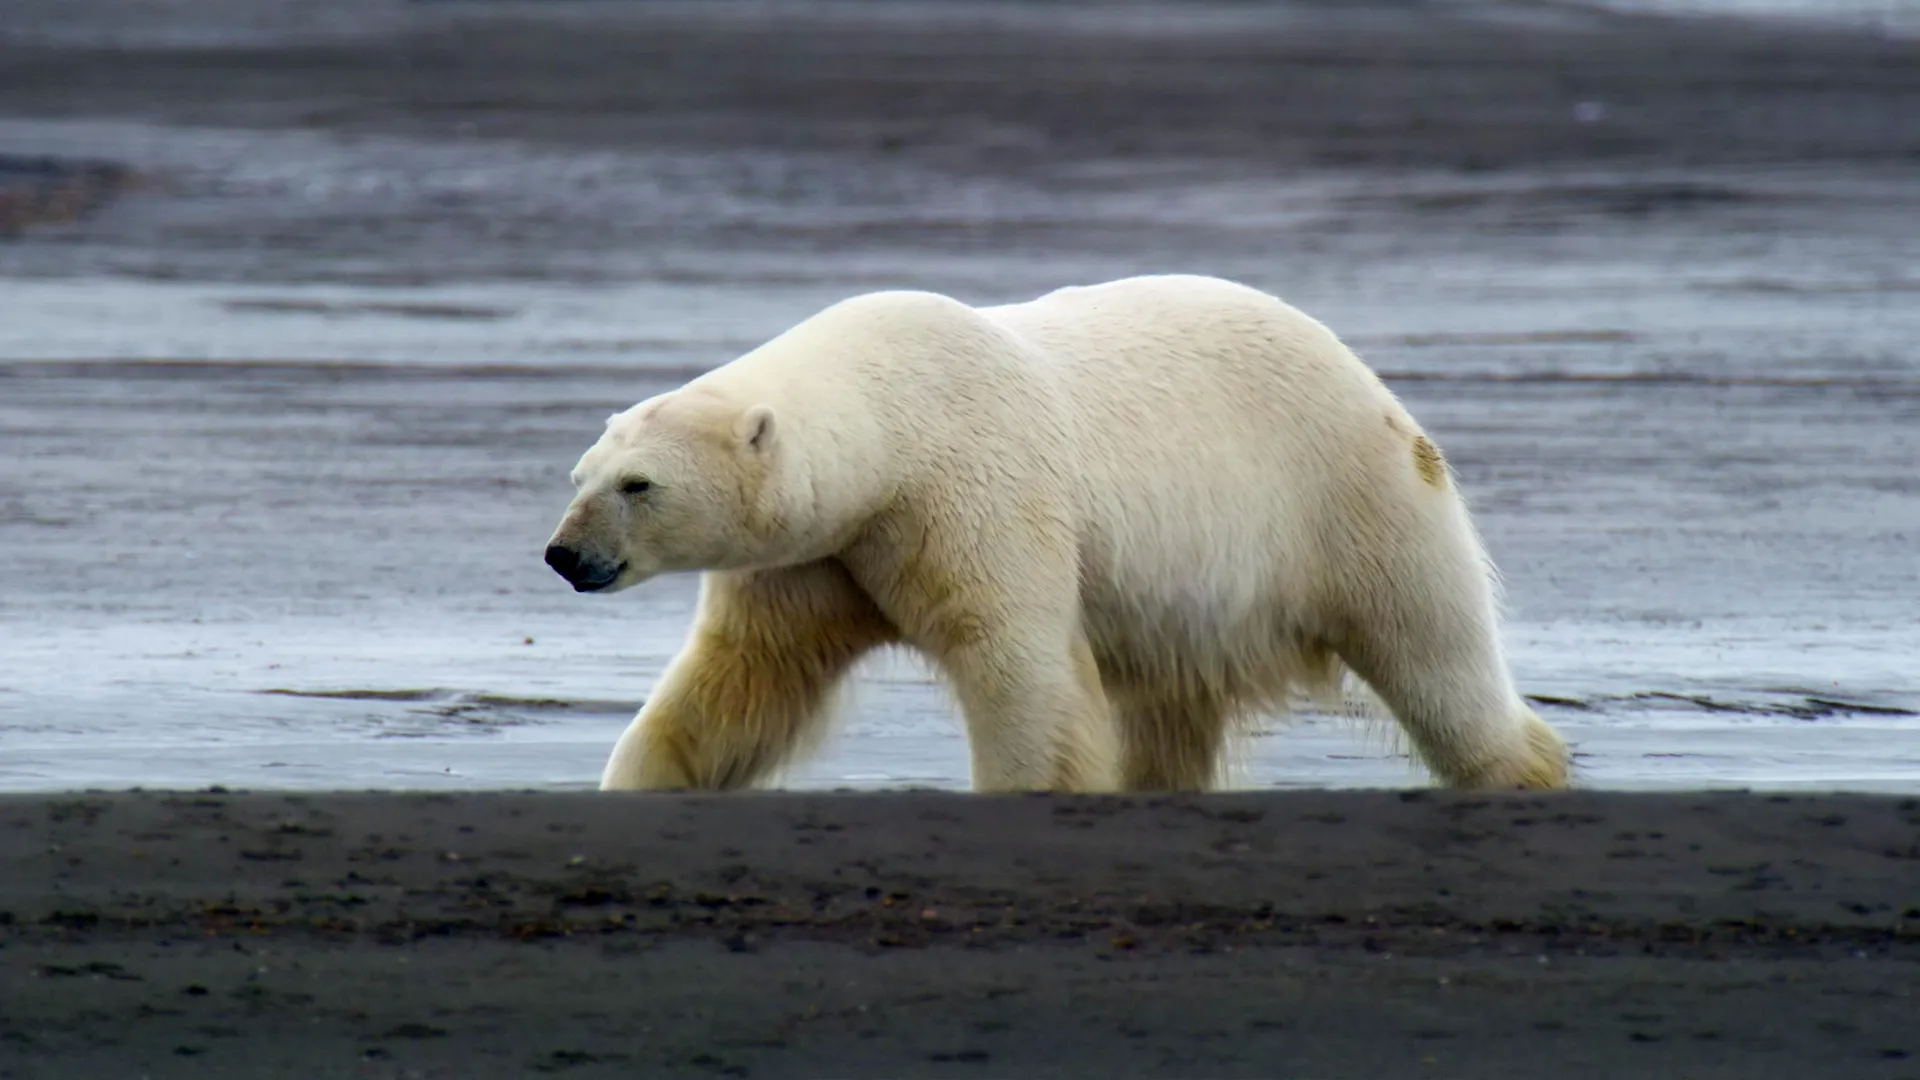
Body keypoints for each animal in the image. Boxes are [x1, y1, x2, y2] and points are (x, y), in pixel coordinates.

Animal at [543, 273, 1571, 794]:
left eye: (638, 484)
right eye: (580, 476)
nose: (564, 556)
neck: (890, 418)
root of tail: (1367, 376)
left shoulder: (970, 490)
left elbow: (1015, 662)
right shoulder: (823, 551)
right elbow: (745, 675)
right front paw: (640, 777)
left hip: (1344, 497)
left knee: (1433, 655)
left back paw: (1520, 770)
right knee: (1169, 712)